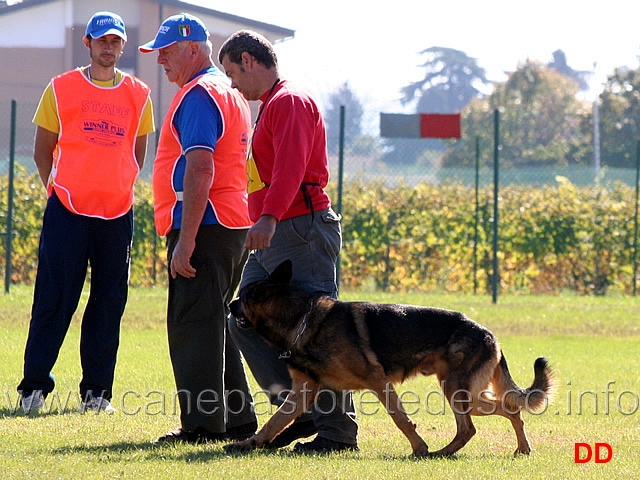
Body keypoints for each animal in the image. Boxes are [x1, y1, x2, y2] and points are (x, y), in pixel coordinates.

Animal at [228, 260, 556, 456]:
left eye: (244, 298)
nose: (229, 305)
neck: (301, 320)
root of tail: (490, 335)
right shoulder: (303, 392)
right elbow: (274, 422)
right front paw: (249, 443)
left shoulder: (378, 381)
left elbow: (400, 418)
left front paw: (419, 448)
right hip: (466, 395)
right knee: (502, 413)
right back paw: (508, 450)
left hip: (458, 392)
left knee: (485, 421)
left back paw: (445, 453)